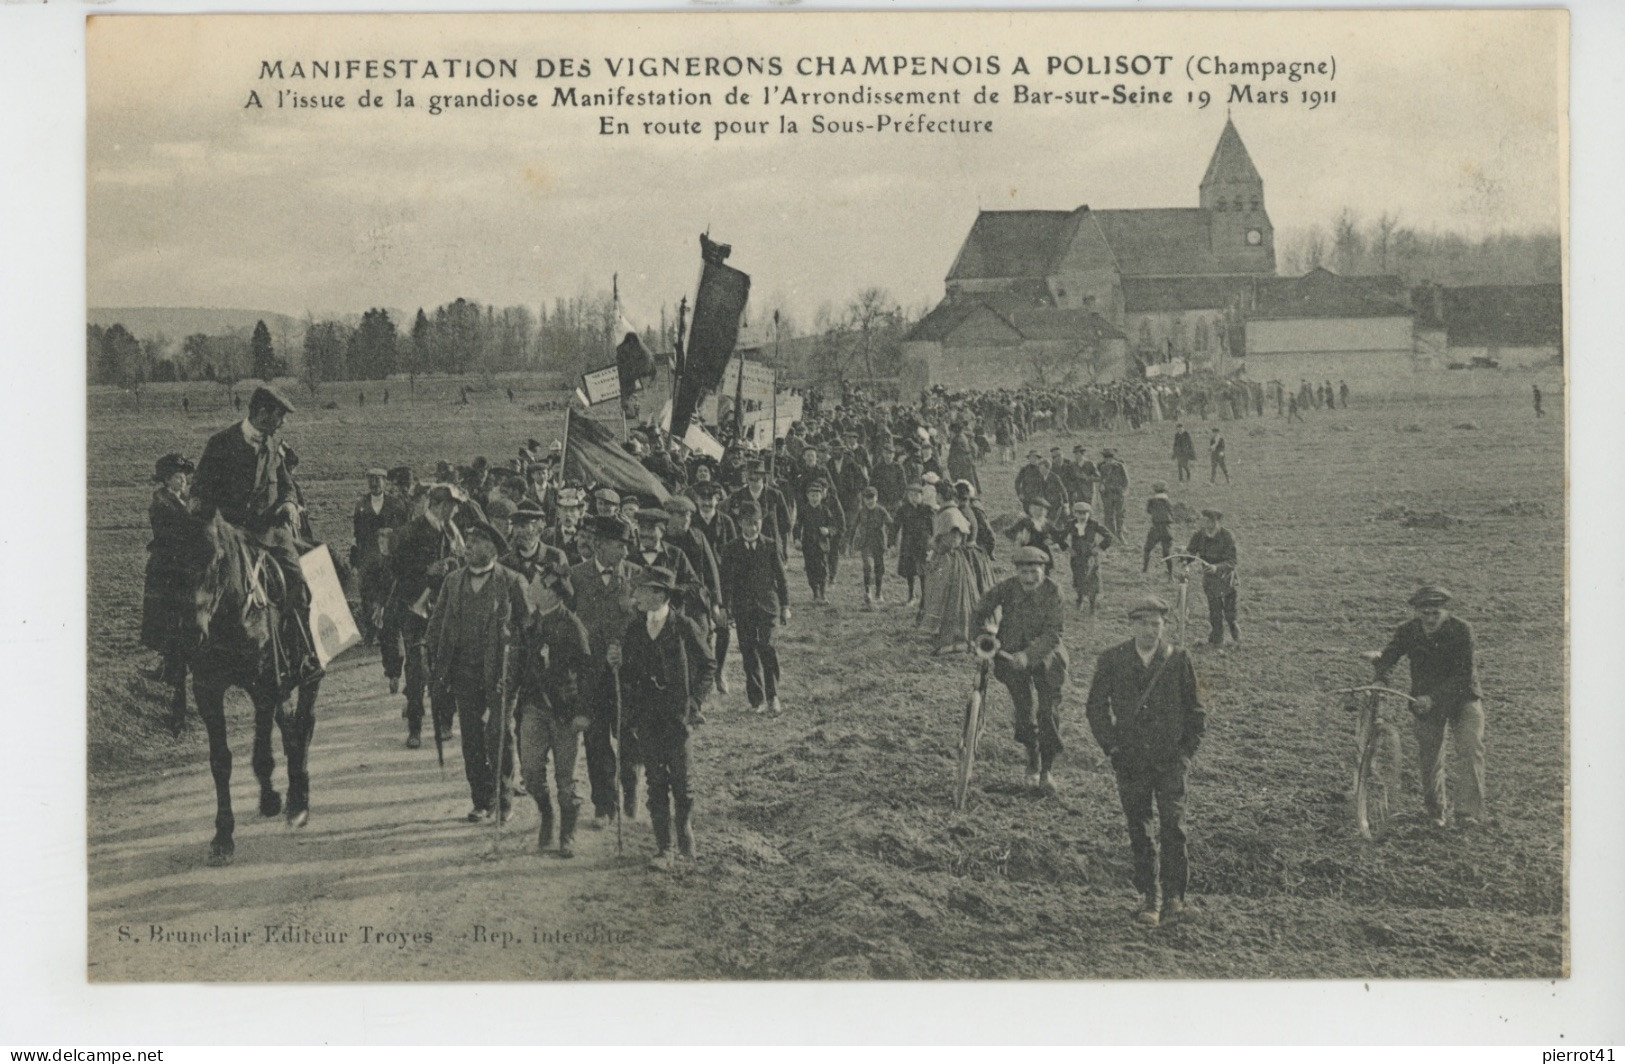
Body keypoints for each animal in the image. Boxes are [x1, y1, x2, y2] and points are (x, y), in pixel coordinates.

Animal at [178, 513, 323, 870]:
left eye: (217, 558)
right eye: (172, 553)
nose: (191, 633)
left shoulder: (265, 682)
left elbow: (268, 747)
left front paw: (277, 799)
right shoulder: (208, 689)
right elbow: (221, 761)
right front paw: (222, 836)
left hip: (306, 674)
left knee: (303, 723)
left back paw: (298, 800)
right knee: (287, 726)